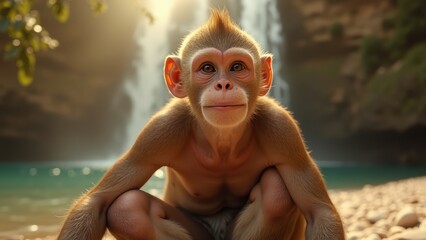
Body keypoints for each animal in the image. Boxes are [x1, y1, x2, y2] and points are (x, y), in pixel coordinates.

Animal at [59, 8, 346, 239]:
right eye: (207, 68)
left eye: (237, 67)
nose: (224, 85)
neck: (222, 139)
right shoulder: (158, 133)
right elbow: (97, 202)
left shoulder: (282, 130)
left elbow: (319, 211)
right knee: (127, 209)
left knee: (276, 193)